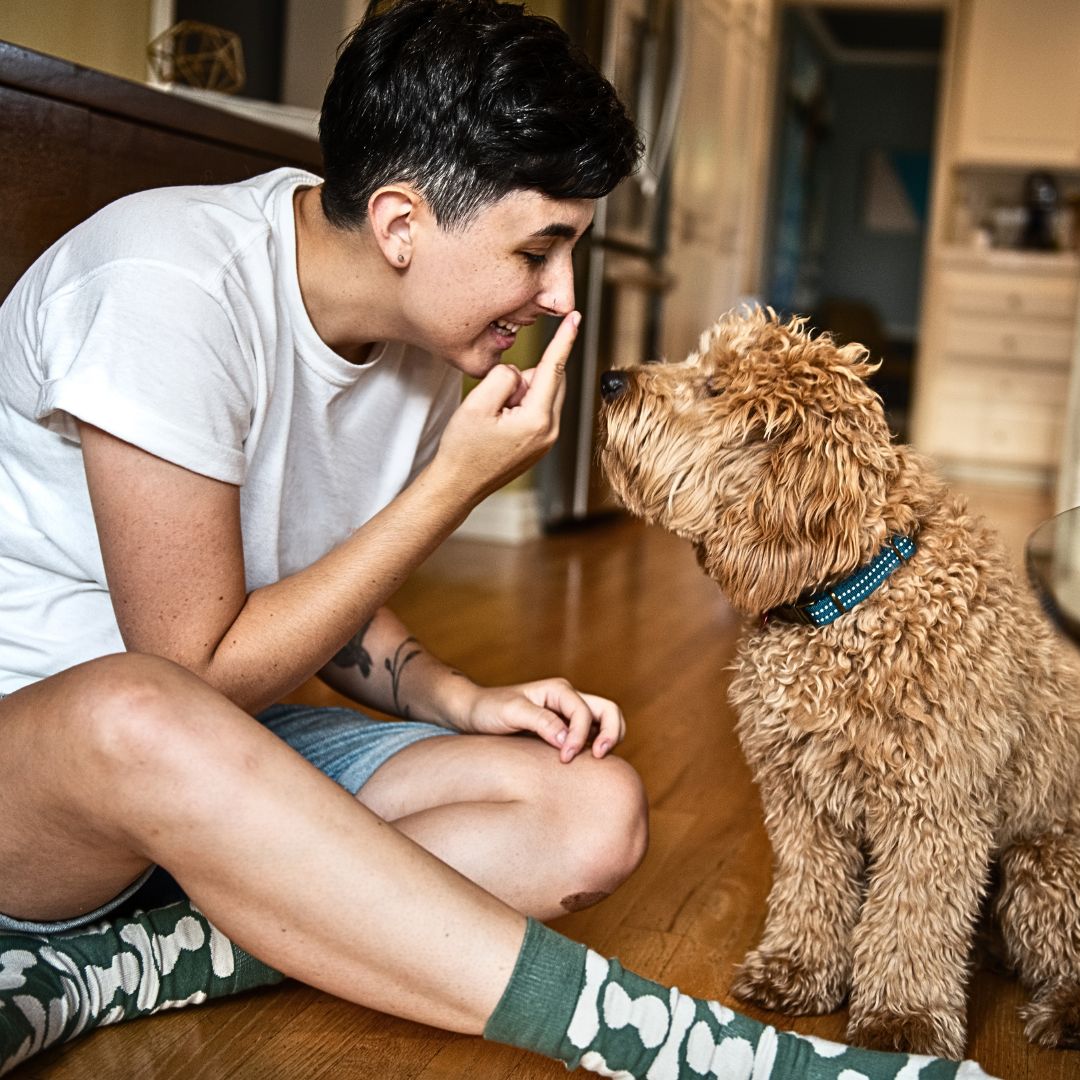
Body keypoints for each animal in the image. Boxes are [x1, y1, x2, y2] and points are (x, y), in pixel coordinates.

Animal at [596, 308, 1080, 1058]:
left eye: (713, 387)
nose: (609, 380)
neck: (848, 598)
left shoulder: (932, 808)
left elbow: (912, 917)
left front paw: (902, 1021)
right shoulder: (800, 794)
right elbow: (812, 888)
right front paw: (797, 971)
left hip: (1042, 863)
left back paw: (1064, 1012)